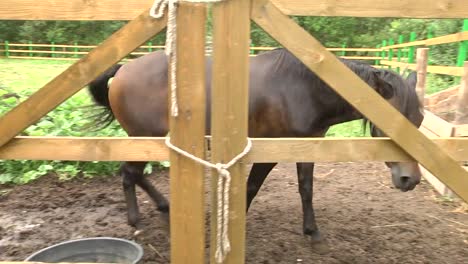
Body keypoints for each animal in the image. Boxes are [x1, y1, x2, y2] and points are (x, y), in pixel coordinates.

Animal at [87, 48, 424, 244]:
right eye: (394, 123)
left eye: (419, 120)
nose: (410, 179)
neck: (302, 89)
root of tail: (123, 69)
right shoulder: (268, 151)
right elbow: (250, 188)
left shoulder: (306, 145)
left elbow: (306, 188)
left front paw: (312, 231)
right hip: (145, 138)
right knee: (129, 174)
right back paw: (137, 220)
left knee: (134, 174)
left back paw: (163, 207)